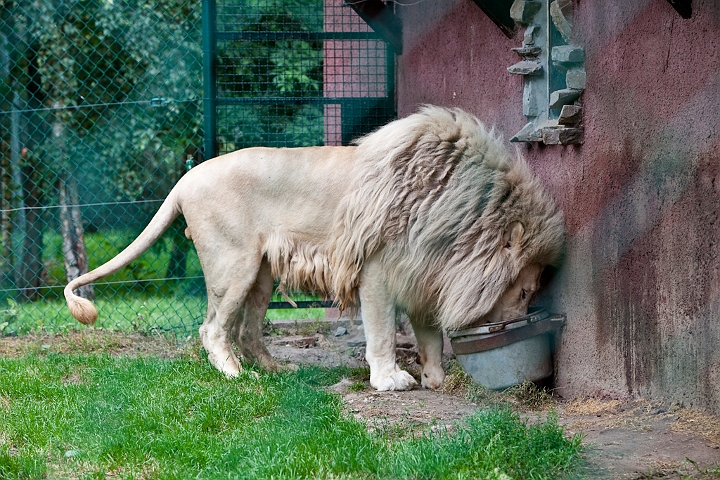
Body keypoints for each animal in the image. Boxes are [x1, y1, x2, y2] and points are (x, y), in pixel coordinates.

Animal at [65, 106, 564, 391]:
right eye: (523, 291)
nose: (516, 325)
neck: (458, 213)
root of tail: (185, 179)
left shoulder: (424, 271)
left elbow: (428, 336)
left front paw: (436, 378)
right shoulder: (378, 271)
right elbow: (382, 333)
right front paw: (390, 381)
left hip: (261, 276)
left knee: (248, 331)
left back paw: (276, 371)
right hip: (234, 265)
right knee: (212, 329)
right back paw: (234, 376)